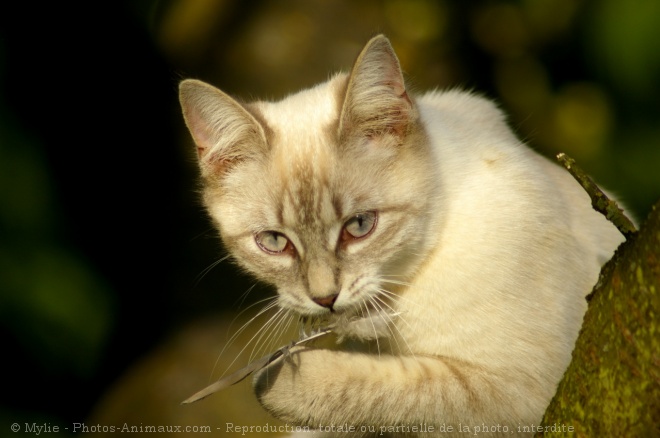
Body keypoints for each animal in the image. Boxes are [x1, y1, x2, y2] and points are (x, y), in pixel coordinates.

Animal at [179, 36, 624, 436]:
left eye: (360, 226)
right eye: (274, 242)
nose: (325, 299)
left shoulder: (520, 392)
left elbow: (388, 390)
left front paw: (274, 381)